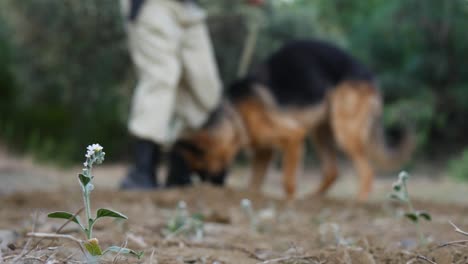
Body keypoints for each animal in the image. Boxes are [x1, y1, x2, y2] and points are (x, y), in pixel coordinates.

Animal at [173, 39, 414, 200]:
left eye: (201, 167)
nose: (212, 189)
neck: (236, 113)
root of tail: (368, 73)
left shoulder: (293, 137)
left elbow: (287, 181)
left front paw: (289, 202)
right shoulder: (264, 152)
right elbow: (254, 182)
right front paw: (251, 198)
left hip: (344, 131)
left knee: (367, 172)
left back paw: (357, 202)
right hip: (321, 131)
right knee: (332, 171)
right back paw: (313, 199)